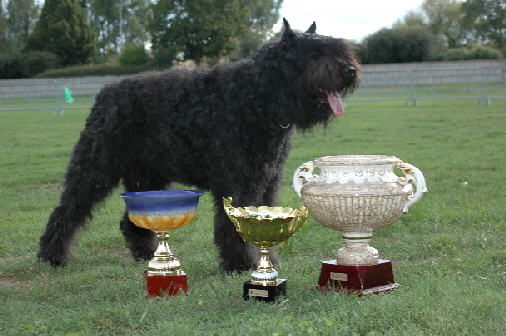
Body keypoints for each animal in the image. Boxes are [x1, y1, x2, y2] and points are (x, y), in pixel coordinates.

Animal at [36, 18, 360, 272]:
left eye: (339, 50)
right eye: (315, 54)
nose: (349, 70)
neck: (260, 95)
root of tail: (104, 94)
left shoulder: (268, 179)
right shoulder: (239, 182)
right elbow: (233, 226)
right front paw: (242, 264)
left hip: (146, 178)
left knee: (130, 222)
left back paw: (147, 255)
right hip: (95, 168)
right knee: (67, 210)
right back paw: (53, 256)